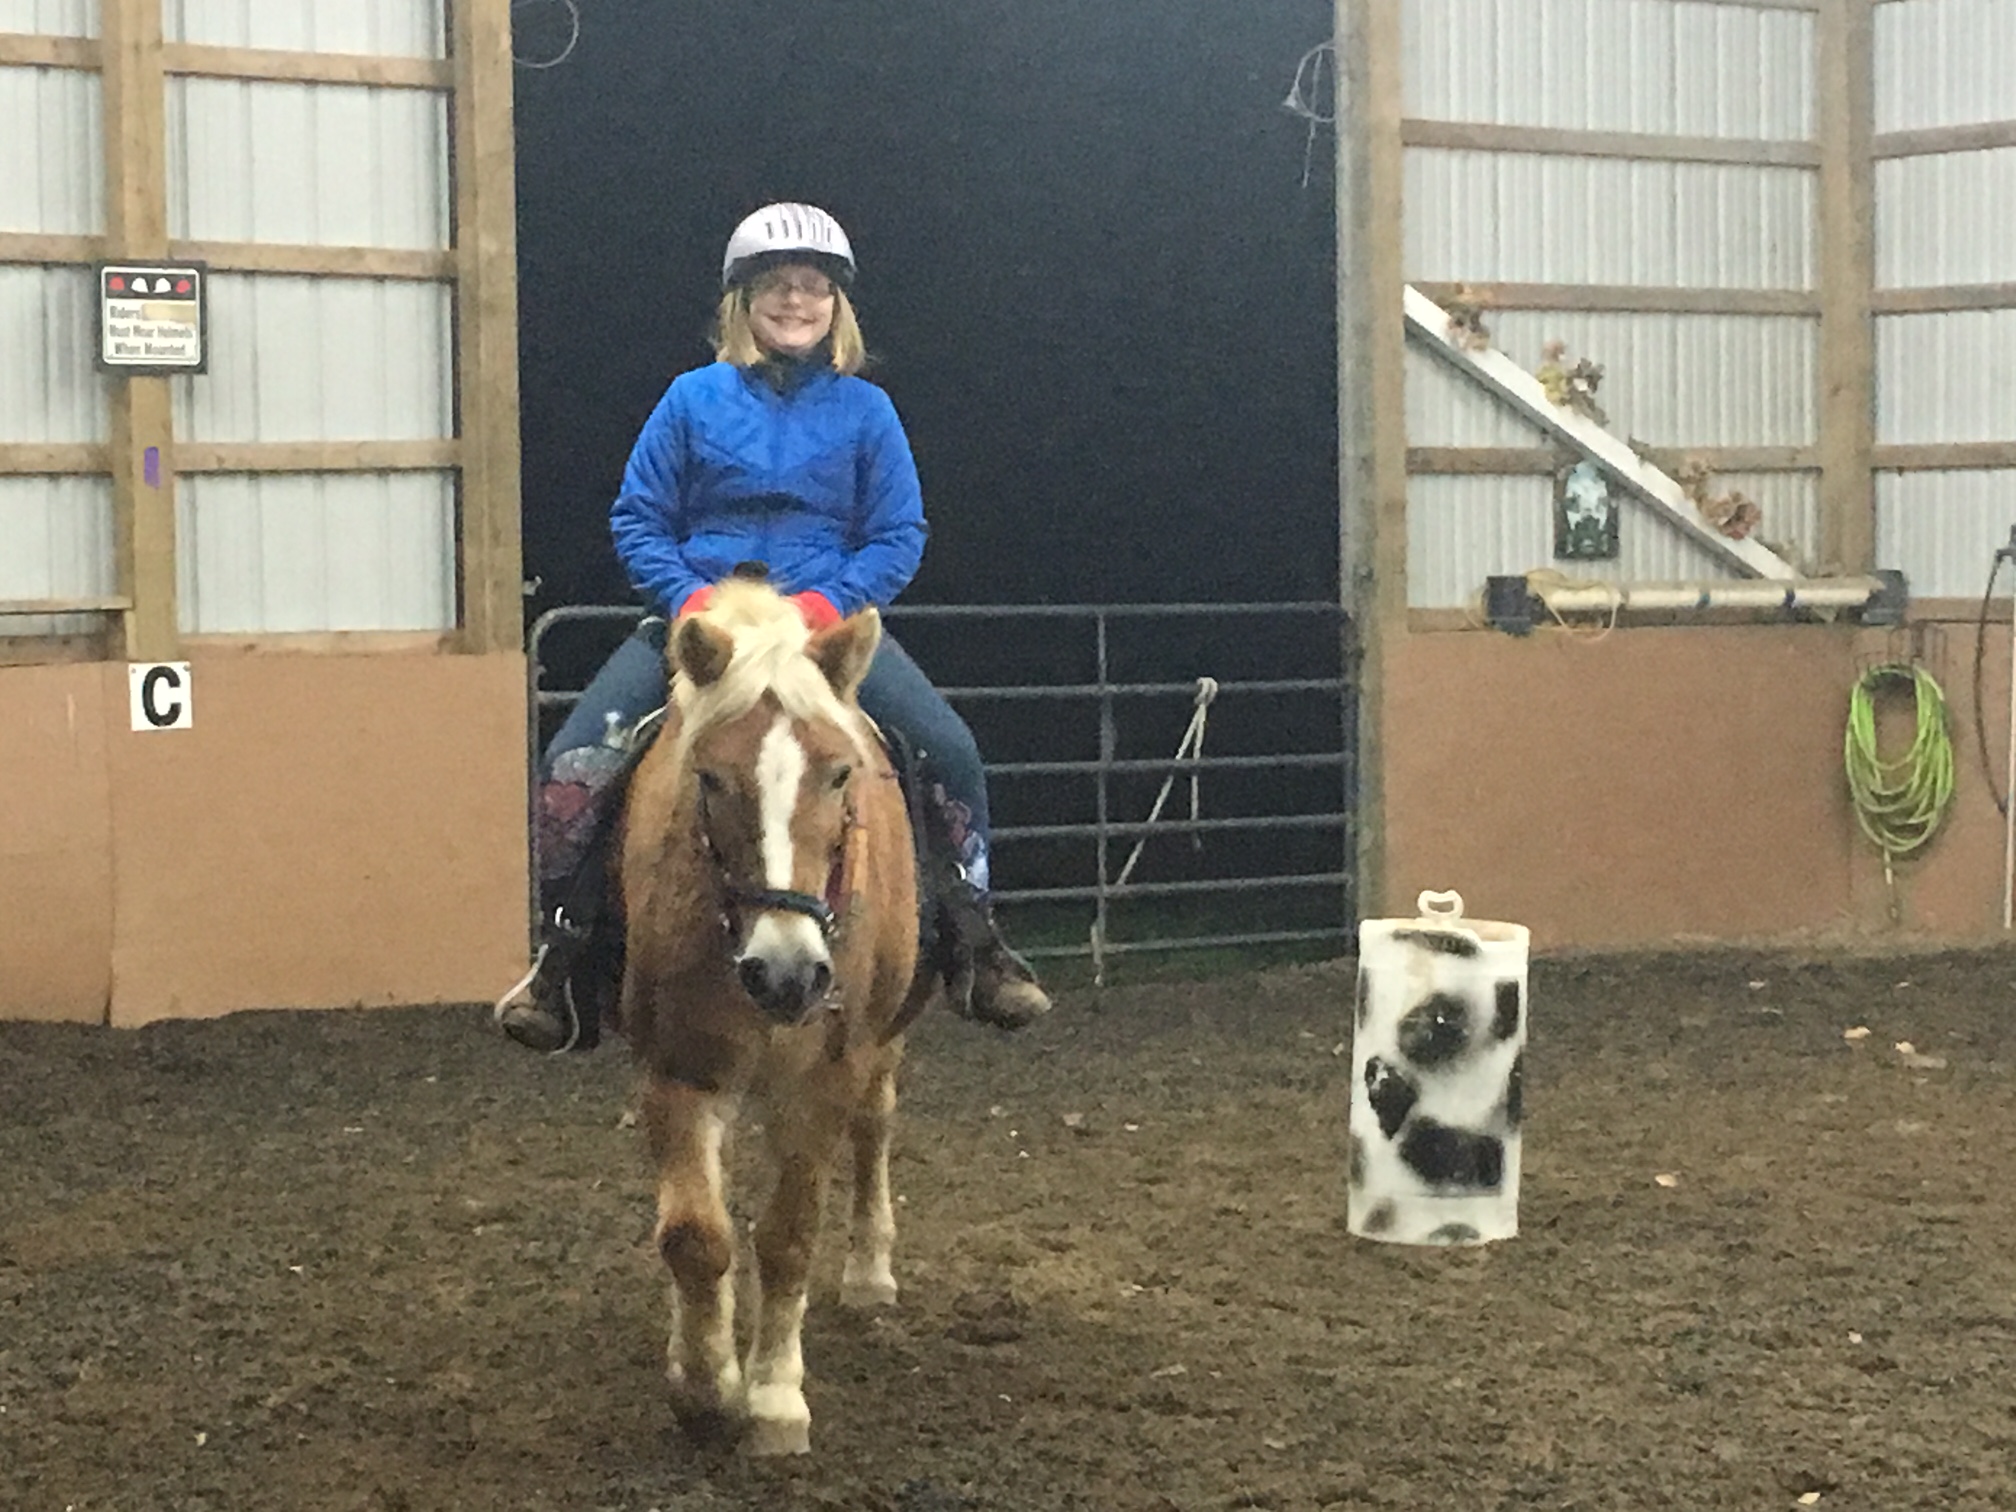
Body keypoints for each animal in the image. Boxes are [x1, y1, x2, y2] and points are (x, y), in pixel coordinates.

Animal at [616, 576, 931, 1459]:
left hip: (882, 1042)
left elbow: (788, 1235)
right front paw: (703, 1383)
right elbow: (696, 1235)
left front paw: (774, 1399)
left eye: (840, 774)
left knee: (875, 1127)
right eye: (711, 779)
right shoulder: (677, 1071)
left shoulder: (826, 1077)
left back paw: (870, 1272)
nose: (786, 974)